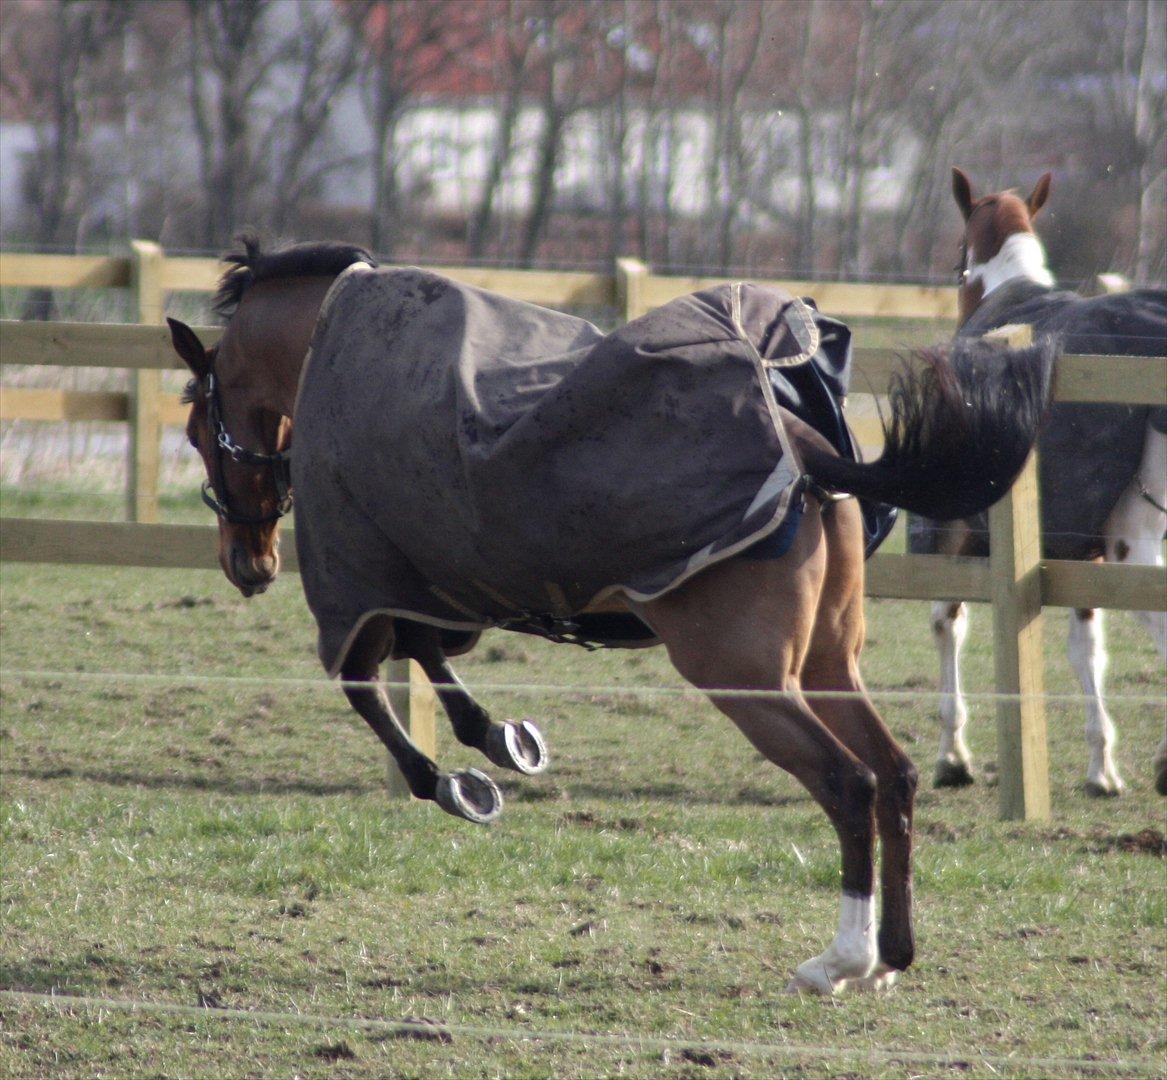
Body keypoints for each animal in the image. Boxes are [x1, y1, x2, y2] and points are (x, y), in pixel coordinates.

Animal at [910, 166, 1167, 793]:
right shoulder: (1078, 553)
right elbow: (1086, 647)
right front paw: (1102, 766)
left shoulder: (953, 532)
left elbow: (946, 623)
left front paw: (952, 756)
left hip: (1132, 542)